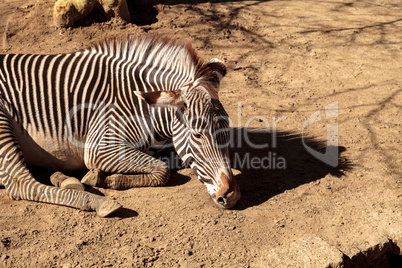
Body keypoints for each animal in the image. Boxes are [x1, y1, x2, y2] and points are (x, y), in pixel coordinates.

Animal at [0, 34, 239, 217]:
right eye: (197, 135)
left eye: (226, 129)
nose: (231, 196)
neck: (137, 102)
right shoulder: (100, 147)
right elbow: (162, 170)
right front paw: (109, 179)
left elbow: (172, 160)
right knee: (21, 184)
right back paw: (96, 201)